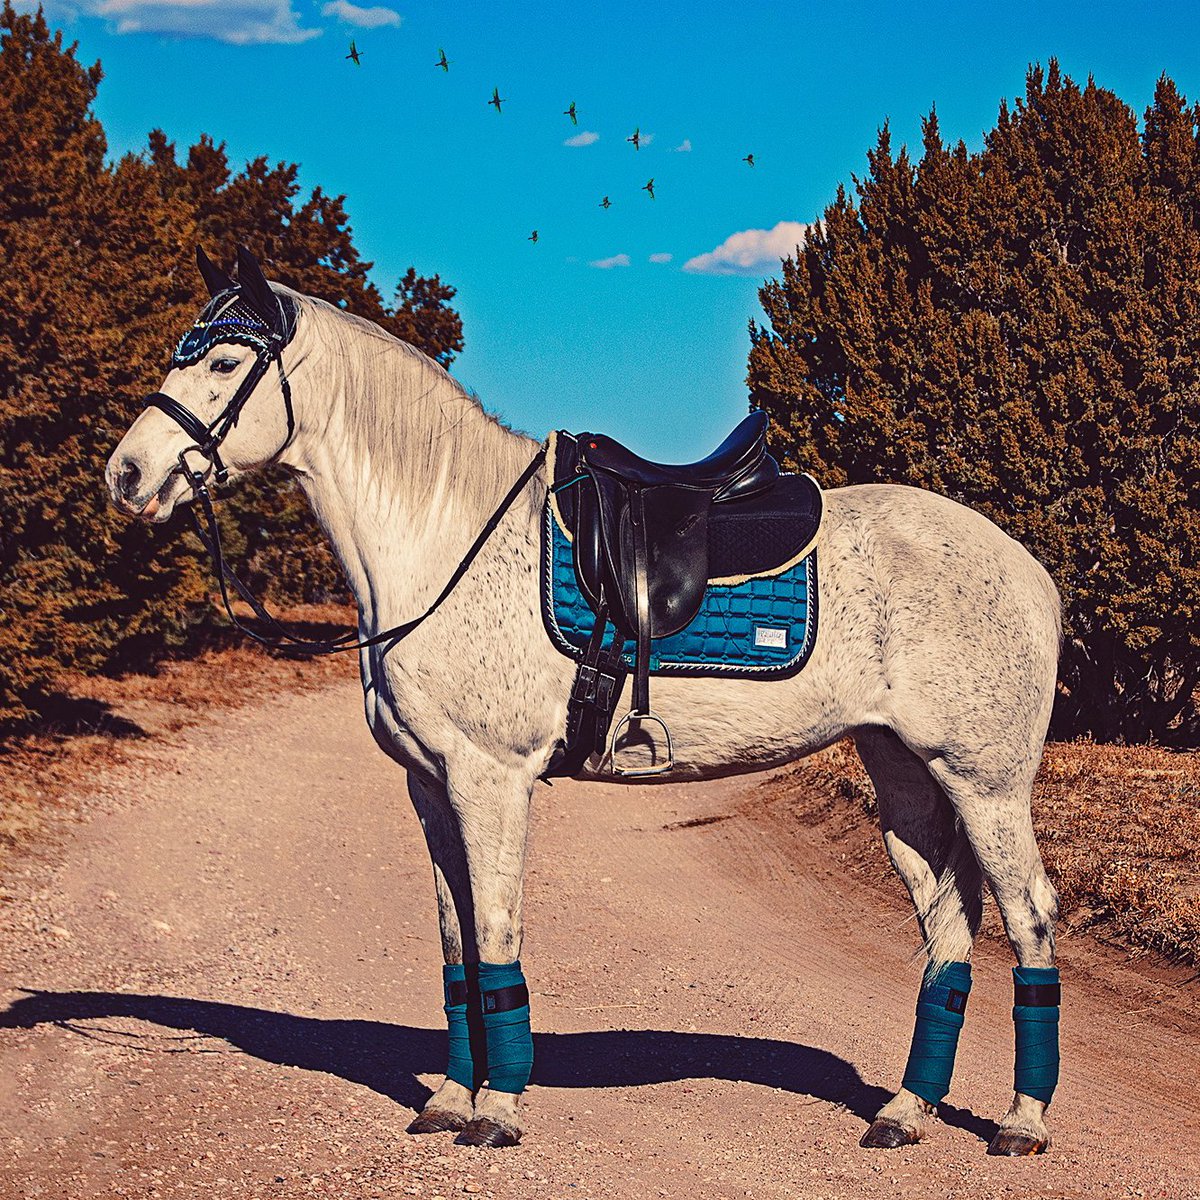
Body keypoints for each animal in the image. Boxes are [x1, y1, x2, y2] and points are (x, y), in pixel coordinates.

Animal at [106, 247, 1064, 1156]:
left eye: (226, 361)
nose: (127, 475)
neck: (445, 538)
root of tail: (1027, 568)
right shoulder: (430, 788)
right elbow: (457, 948)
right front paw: (449, 1099)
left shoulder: (489, 782)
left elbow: (497, 939)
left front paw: (497, 1110)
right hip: (905, 776)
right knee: (949, 936)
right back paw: (906, 1112)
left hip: (985, 785)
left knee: (1029, 921)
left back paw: (1022, 1122)